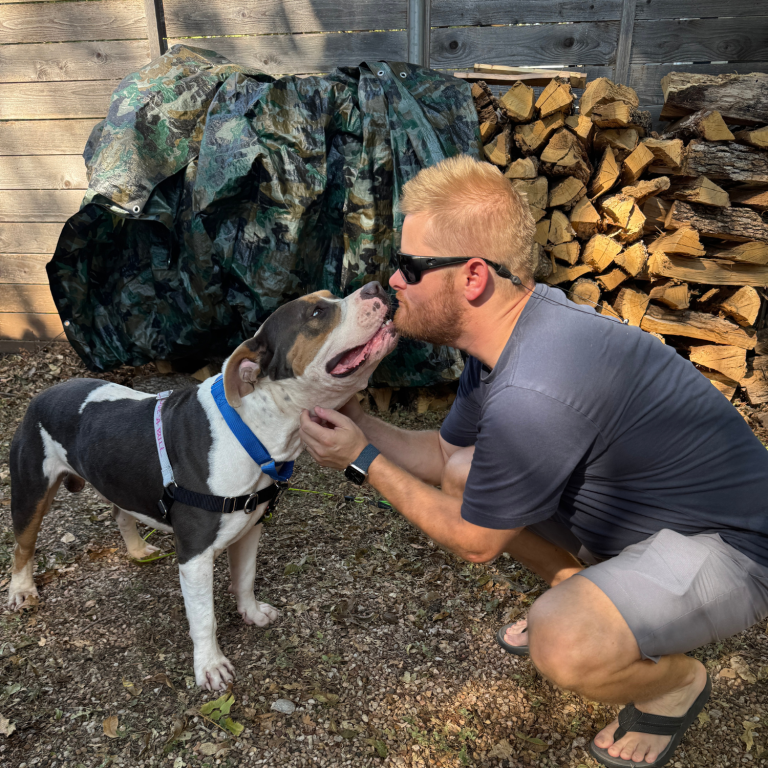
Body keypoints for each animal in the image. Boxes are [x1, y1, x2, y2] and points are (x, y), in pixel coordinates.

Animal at [9, 282, 400, 688]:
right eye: (316, 314)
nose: (375, 286)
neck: (250, 430)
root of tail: (44, 393)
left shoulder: (250, 528)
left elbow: (244, 577)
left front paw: (251, 613)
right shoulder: (194, 555)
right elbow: (203, 616)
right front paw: (210, 665)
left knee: (121, 512)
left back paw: (137, 549)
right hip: (30, 490)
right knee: (23, 544)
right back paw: (21, 590)